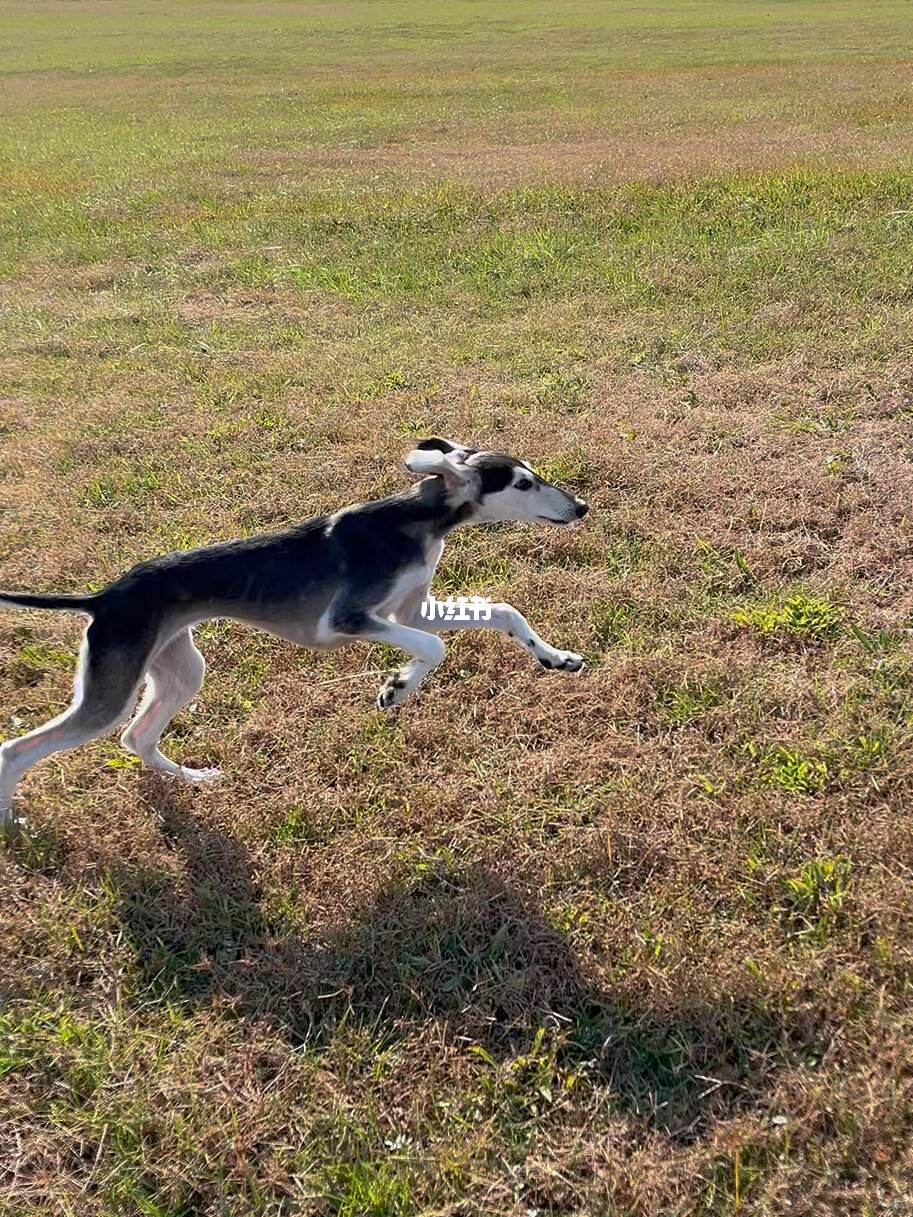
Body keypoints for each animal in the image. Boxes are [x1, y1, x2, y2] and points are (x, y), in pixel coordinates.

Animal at [0, 438, 589, 817]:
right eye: (523, 483)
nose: (581, 507)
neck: (414, 520)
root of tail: (103, 598)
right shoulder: (349, 618)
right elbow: (434, 646)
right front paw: (397, 687)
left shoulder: (406, 611)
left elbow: (502, 613)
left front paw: (555, 658)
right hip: (110, 689)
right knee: (18, 751)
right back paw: (15, 825)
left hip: (179, 668)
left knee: (136, 736)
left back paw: (194, 779)